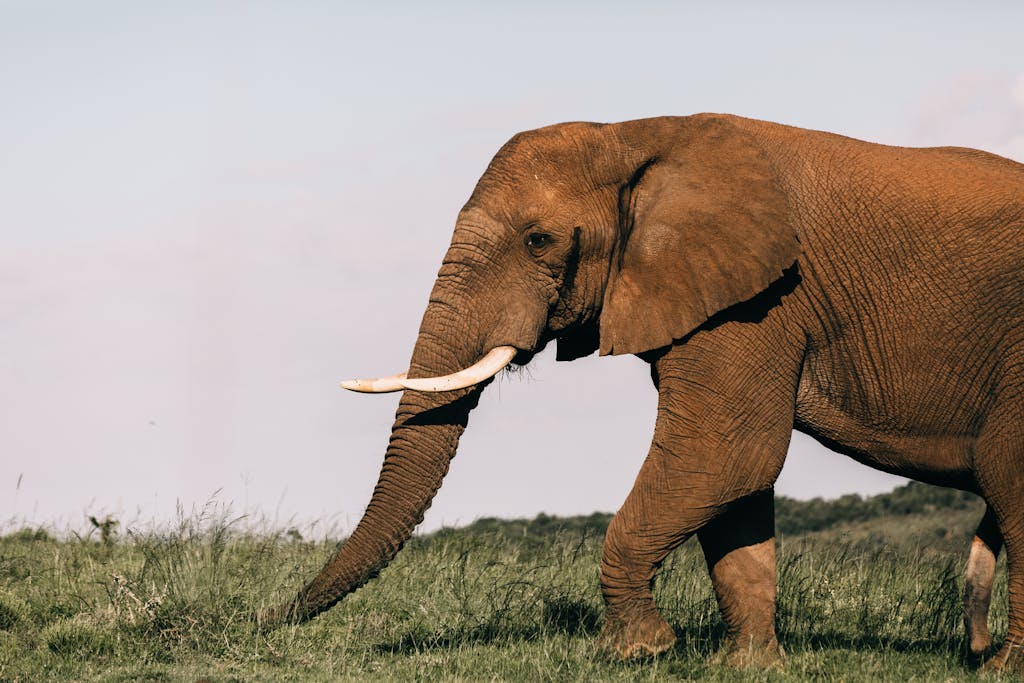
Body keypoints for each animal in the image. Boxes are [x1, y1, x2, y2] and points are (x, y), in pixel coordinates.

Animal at [262, 114, 1024, 669]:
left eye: (539, 241)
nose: (267, 621)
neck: (637, 132)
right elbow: (735, 483)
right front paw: (745, 670)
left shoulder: (762, 298)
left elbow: (725, 455)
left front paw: (638, 651)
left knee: (1006, 477)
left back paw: (998, 669)